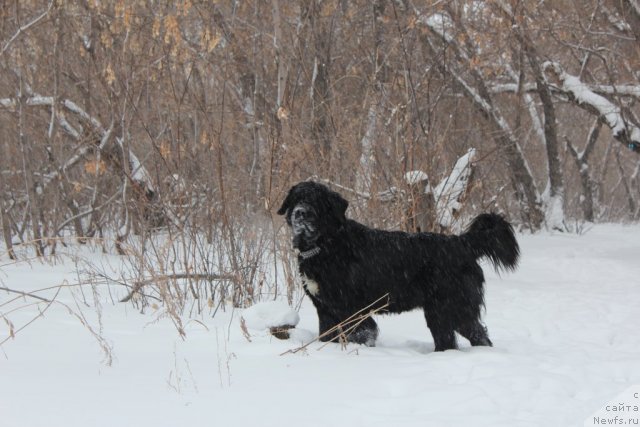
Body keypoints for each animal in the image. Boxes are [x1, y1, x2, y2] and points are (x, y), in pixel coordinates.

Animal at [278, 181, 520, 352]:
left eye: (316, 201)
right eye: (296, 199)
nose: (301, 212)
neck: (327, 244)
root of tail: (461, 242)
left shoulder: (354, 310)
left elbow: (362, 334)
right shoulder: (326, 309)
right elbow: (327, 335)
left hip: (452, 307)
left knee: (476, 337)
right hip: (443, 311)